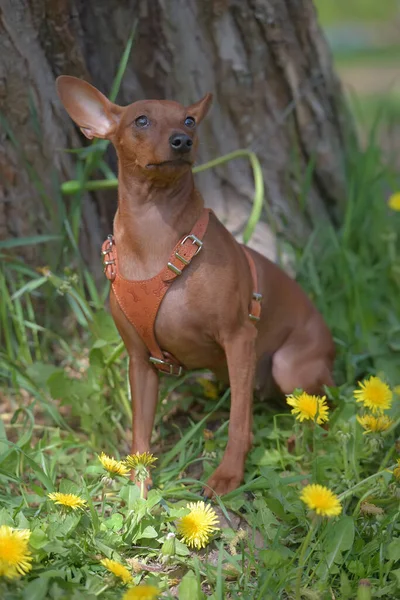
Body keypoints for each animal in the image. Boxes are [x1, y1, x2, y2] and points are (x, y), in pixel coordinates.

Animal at [54, 75, 332, 496]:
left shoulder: (239, 339)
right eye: (141, 120)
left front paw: (228, 475)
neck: (156, 232)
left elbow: (239, 423)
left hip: (287, 366)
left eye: (189, 120)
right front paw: (138, 490)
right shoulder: (140, 361)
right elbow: (140, 436)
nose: (182, 141)